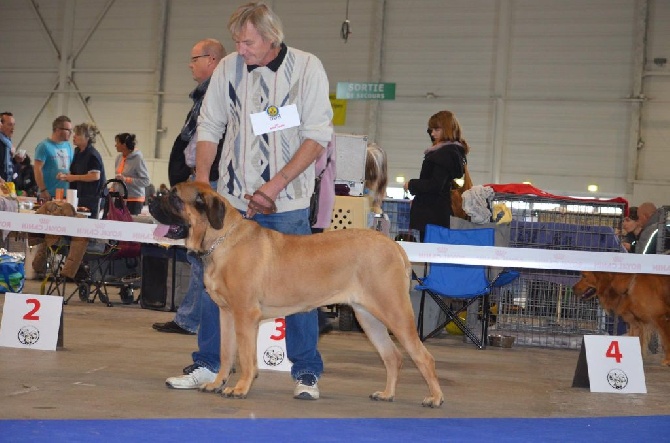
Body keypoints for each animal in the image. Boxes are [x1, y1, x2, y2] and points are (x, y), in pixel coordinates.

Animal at [152, 182, 446, 408]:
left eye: (175, 198)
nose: (153, 198)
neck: (221, 239)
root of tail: (394, 246)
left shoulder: (245, 315)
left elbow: (246, 357)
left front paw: (240, 388)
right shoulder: (226, 314)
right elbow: (226, 353)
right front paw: (216, 383)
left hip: (394, 311)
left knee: (424, 357)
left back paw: (434, 398)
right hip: (368, 317)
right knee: (393, 357)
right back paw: (387, 394)